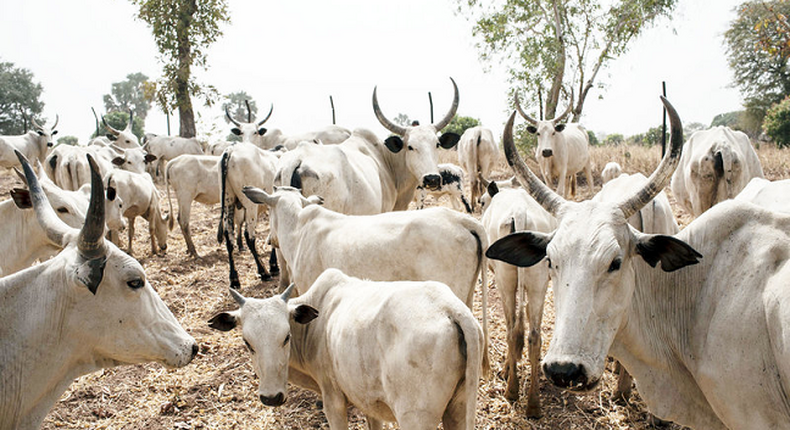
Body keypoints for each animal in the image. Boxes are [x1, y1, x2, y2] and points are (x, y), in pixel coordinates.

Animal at [209, 268, 482, 430]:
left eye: (286, 337)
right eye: (248, 343)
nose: (271, 397)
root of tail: (449, 307)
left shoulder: (333, 400)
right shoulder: (371, 402)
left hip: (416, 417)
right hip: (458, 410)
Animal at [476, 180, 556, 414]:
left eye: (481, 201)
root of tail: (520, 214)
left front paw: (506, 370)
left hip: (506, 281)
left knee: (512, 330)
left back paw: (511, 390)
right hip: (539, 282)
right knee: (534, 336)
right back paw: (533, 405)